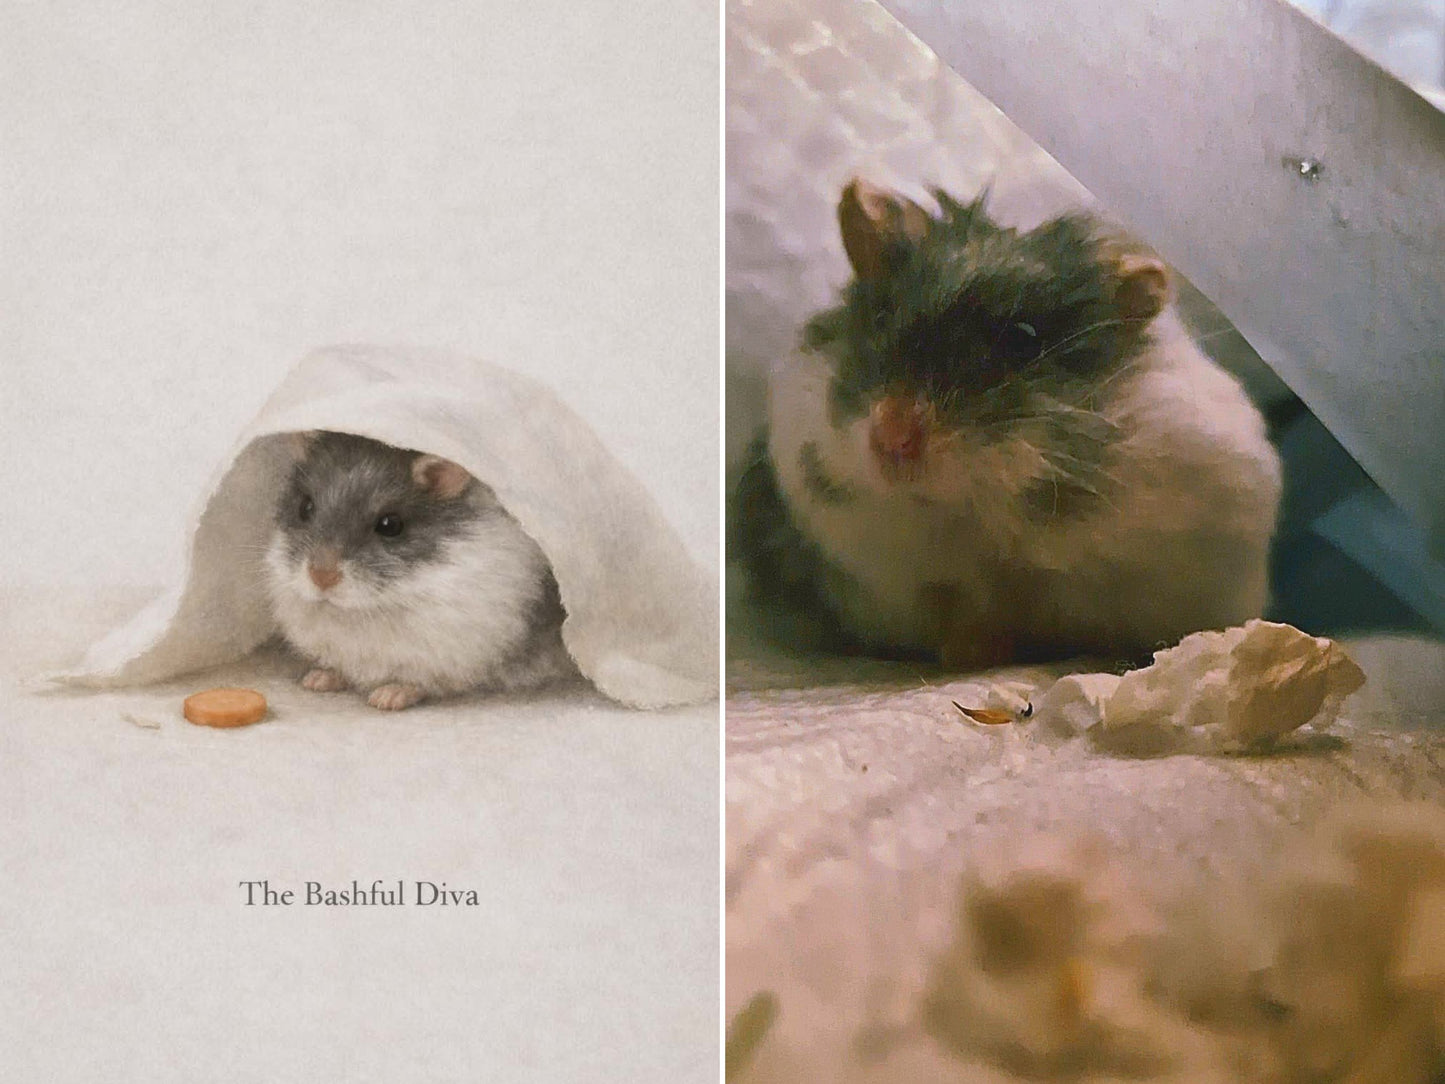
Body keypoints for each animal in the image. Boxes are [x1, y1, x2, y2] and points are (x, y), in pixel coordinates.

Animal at [264, 431, 576, 709]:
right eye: (305, 508)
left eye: (390, 525)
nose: (321, 577)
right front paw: (317, 680)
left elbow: (417, 681)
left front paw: (385, 698)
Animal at [731, 179, 1283, 669]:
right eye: (884, 316)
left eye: (1023, 339)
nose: (891, 441)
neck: (981, 513)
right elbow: (960, 613)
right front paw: (970, 655)